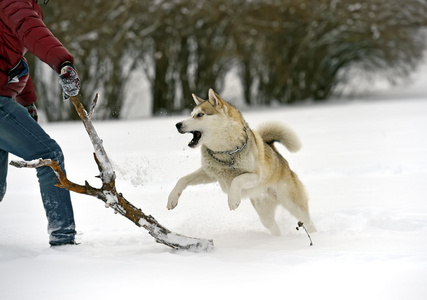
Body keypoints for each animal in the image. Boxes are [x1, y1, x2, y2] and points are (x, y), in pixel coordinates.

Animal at [167, 90, 314, 236]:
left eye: (200, 115)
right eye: (191, 114)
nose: (177, 124)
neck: (226, 152)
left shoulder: (255, 175)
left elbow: (237, 179)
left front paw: (233, 200)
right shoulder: (210, 173)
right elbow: (183, 179)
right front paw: (172, 199)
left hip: (294, 205)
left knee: (308, 222)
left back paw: (313, 236)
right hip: (264, 213)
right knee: (274, 228)